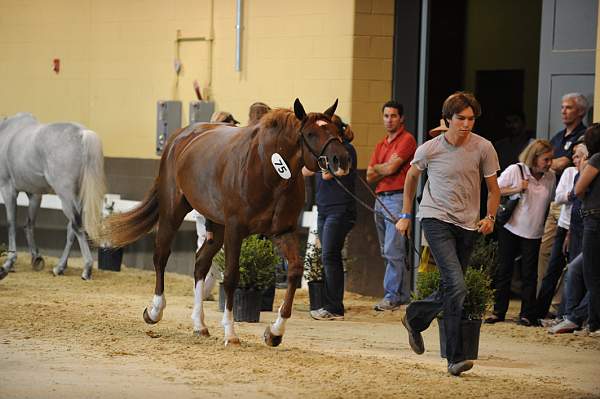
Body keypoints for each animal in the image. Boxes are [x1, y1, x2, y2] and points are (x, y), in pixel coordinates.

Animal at [0, 112, 105, 282]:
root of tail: (82, 133)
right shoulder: (34, 193)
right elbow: (29, 224)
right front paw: (36, 258)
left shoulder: (7, 188)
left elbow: (11, 223)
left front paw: (9, 262)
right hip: (78, 197)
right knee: (72, 229)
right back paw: (59, 267)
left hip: (66, 196)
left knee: (77, 226)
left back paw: (86, 269)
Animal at [101, 99, 350, 346]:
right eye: (310, 133)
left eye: (337, 130)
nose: (342, 160)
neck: (268, 169)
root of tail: (179, 137)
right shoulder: (235, 229)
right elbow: (231, 277)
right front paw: (231, 333)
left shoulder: (283, 232)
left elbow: (295, 271)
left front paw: (275, 333)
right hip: (173, 212)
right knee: (161, 255)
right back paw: (154, 312)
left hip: (216, 226)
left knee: (200, 262)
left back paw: (199, 325)